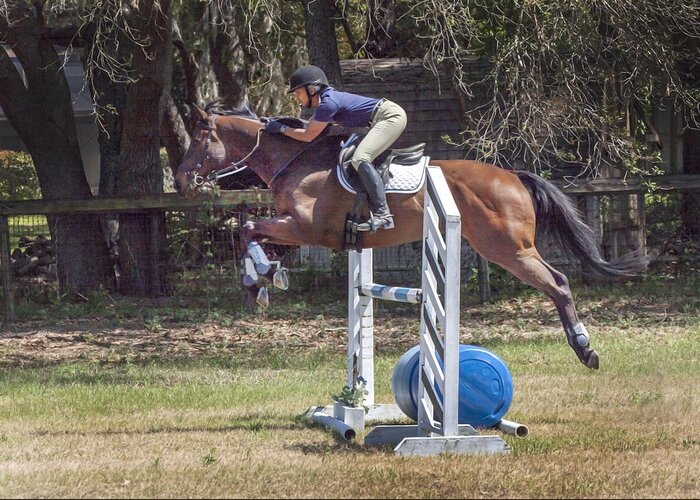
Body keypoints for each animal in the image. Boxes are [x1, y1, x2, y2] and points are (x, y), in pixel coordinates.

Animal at [174, 101, 644, 370]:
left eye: (199, 137)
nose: (179, 180)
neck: (295, 159)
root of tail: (513, 176)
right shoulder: (300, 228)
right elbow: (252, 234)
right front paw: (261, 280)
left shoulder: (310, 228)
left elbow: (249, 228)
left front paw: (262, 278)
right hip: (508, 248)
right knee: (557, 281)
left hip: (508, 249)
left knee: (558, 283)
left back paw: (585, 349)